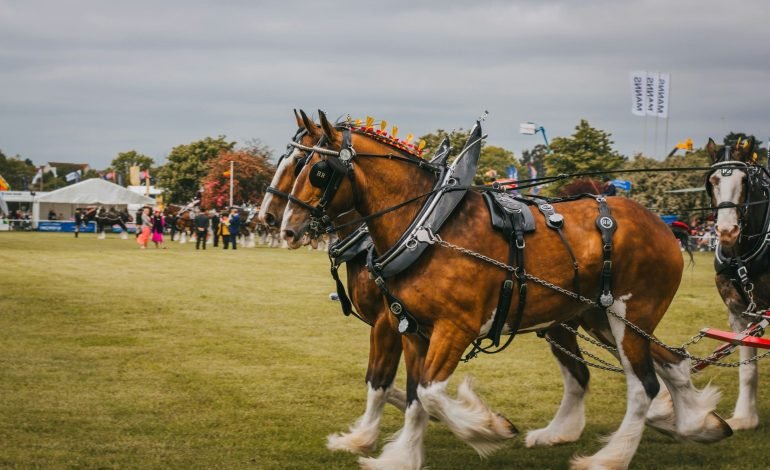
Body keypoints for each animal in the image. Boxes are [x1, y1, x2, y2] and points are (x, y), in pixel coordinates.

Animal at [281, 110, 731, 469]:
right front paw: (402, 456)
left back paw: (610, 457)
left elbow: (428, 393)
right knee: (668, 362)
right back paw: (694, 423)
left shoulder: (453, 328)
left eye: (315, 169)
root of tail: (662, 225)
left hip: (626, 316)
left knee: (644, 386)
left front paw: (487, 428)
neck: (427, 227)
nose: (283, 227)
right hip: (597, 317)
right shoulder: (411, 328)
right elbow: (411, 395)